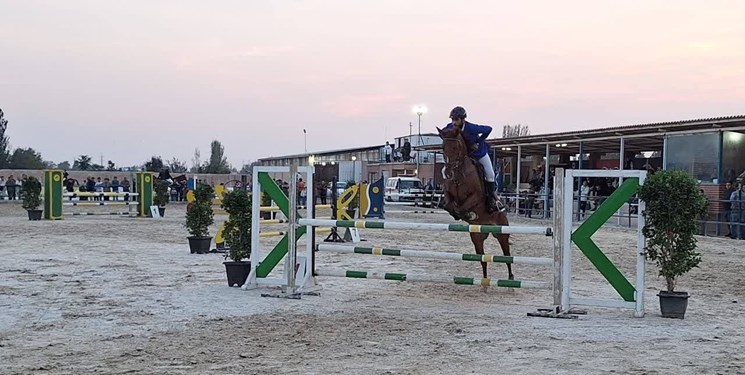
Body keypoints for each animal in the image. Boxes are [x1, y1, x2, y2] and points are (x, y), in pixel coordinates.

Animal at [436, 126, 512, 282]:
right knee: (483, 260)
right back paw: (484, 282)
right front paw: (460, 214)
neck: (458, 173)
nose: (448, 173)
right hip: (477, 238)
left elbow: (463, 207)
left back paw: (511, 279)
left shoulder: (476, 196)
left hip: (502, 234)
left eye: (456, 147)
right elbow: (448, 205)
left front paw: (468, 214)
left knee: (507, 256)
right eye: (443, 147)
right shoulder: (448, 194)